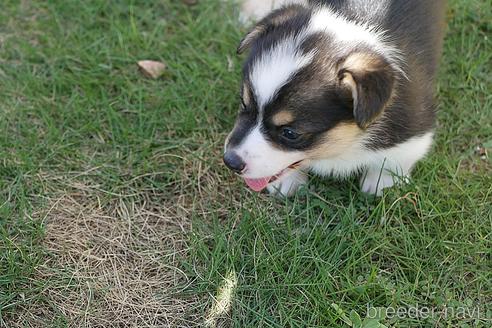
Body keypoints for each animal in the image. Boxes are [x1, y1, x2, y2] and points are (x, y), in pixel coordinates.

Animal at [225, 0, 448, 196]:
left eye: (291, 134)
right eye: (244, 104)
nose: (230, 161)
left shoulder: (414, 130)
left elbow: (394, 161)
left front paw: (381, 185)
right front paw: (286, 183)